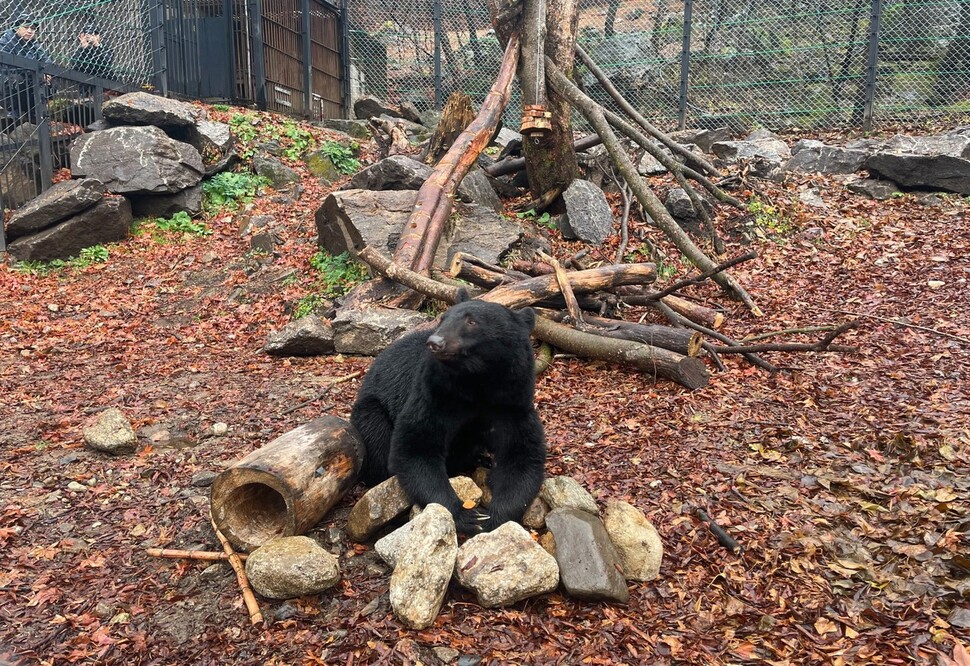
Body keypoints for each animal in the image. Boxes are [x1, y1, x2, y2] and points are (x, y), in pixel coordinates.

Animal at [348, 288, 544, 532]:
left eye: (471, 321)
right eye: (443, 318)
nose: (436, 342)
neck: (478, 383)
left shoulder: (511, 403)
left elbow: (522, 456)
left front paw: (494, 517)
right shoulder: (434, 395)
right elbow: (415, 446)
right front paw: (466, 515)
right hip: (371, 408)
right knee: (375, 431)